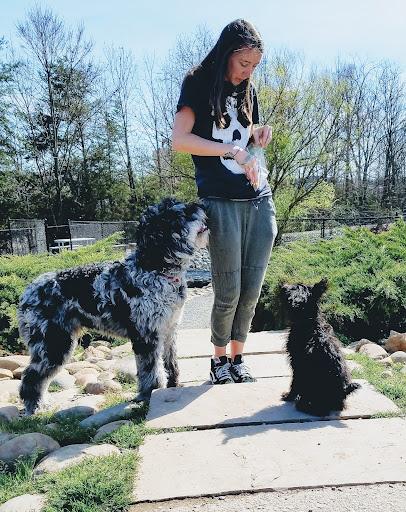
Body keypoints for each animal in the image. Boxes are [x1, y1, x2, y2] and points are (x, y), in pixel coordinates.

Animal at [18, 197, 209, 415]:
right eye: (181, 213)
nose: (202, 205)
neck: (153, 269)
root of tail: (28, 291)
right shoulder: (147, 335)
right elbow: (151, 369)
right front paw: (151, 393)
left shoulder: (169, 330)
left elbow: (171, 363)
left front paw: (173, 385)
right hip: (52, 344)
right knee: (31, 376)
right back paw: (36, 406)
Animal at [280, 278, 360, 416]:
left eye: (295, 287)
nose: (283, 286)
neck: (309, 323)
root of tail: (344, 390)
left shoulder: (297, 364)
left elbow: (294, 383)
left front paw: (289, 397)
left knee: (322, 411)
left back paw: (302, 406)